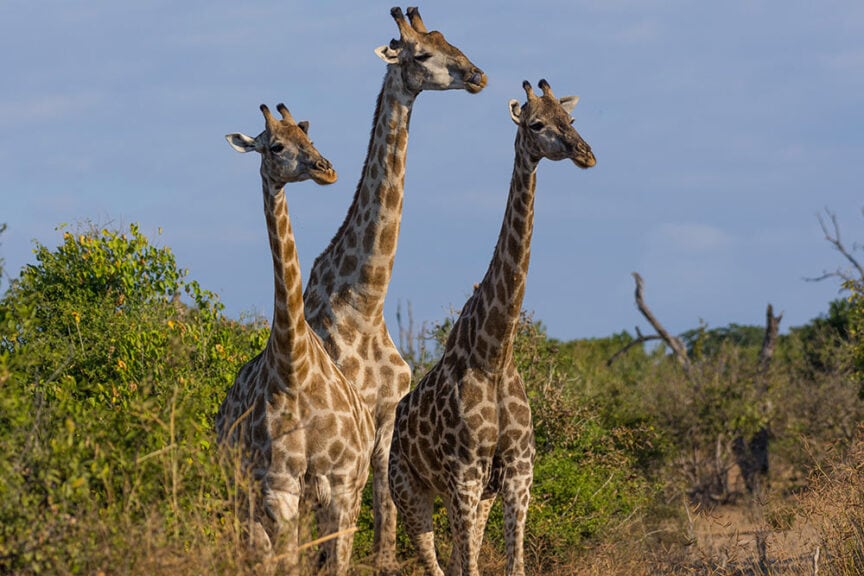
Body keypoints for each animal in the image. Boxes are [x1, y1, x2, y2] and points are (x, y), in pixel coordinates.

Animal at [216, 103, 374, 575]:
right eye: (275, 146)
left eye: (309, 136)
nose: (327, 170)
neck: (293, 369)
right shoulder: (279, 489)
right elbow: (285, 563)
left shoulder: (339, 487)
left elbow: (334, 563)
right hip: (244, 496)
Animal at [302, 7, 486, 574]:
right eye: (421, 53)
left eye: (451, 40)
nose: (478, 75)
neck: (365, 301)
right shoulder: (355, 421)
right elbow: (349, 522)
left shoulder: (386, 417)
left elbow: (384, 513)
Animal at [388, 79, 596, 576]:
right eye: (536, 124)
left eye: (570, 119)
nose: (585, 153)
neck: (495, 355)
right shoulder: (463, 478)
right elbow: (468, 568)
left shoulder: (517, 475)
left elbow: (512, 565)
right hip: (409, 491)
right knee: (434, 564)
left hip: (475, 497)